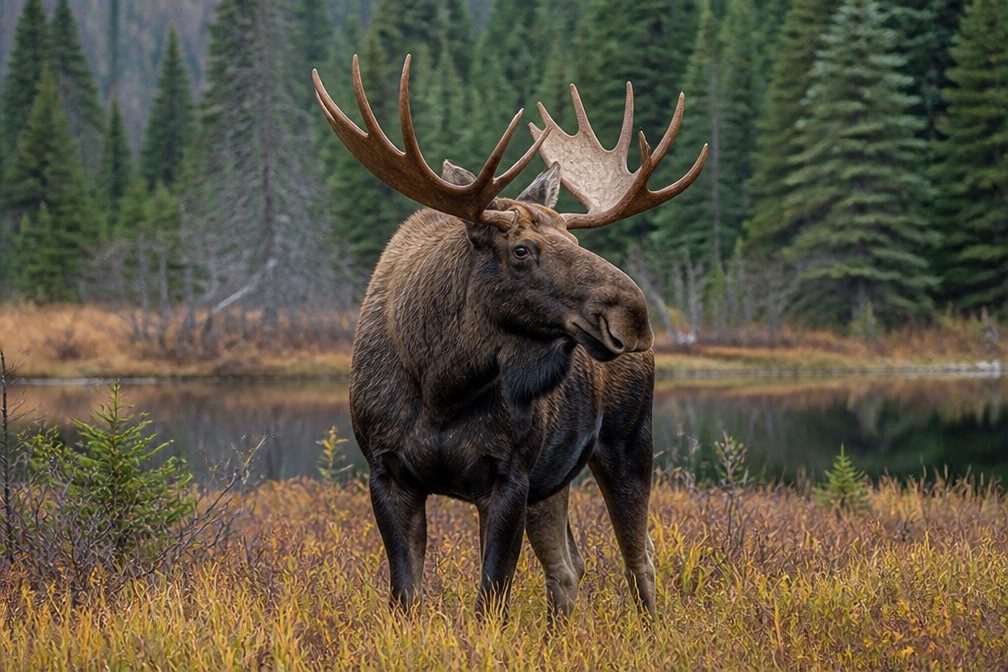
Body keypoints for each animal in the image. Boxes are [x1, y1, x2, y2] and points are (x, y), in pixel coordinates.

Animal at [313, 54, 707, 620]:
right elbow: (406, 595)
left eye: (574, 240)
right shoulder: (388, 473)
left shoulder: (509, 476)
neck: (443, 384)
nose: (633, 315)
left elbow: (491, 597)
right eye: (521, 250)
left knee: (640, 557)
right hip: (556, 476)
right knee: (568, 566)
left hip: (628, 442)